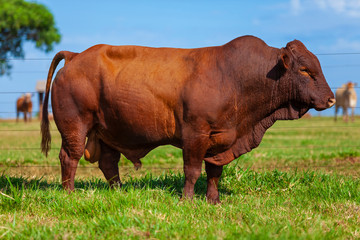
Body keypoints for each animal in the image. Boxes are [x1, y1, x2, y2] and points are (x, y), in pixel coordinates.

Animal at [41, 35, 334, 203]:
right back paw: (69, 194)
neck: (236, 77)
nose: (331, 99)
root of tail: (75, 56)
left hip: (107, 130)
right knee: (69, 158)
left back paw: (119, 192)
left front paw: (214, 201)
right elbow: (192, 170)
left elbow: (214, 172)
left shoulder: (221, 138)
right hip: (75, 128)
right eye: (305, 70)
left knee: (109, 163)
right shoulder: (196, 134)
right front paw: (188, 200)